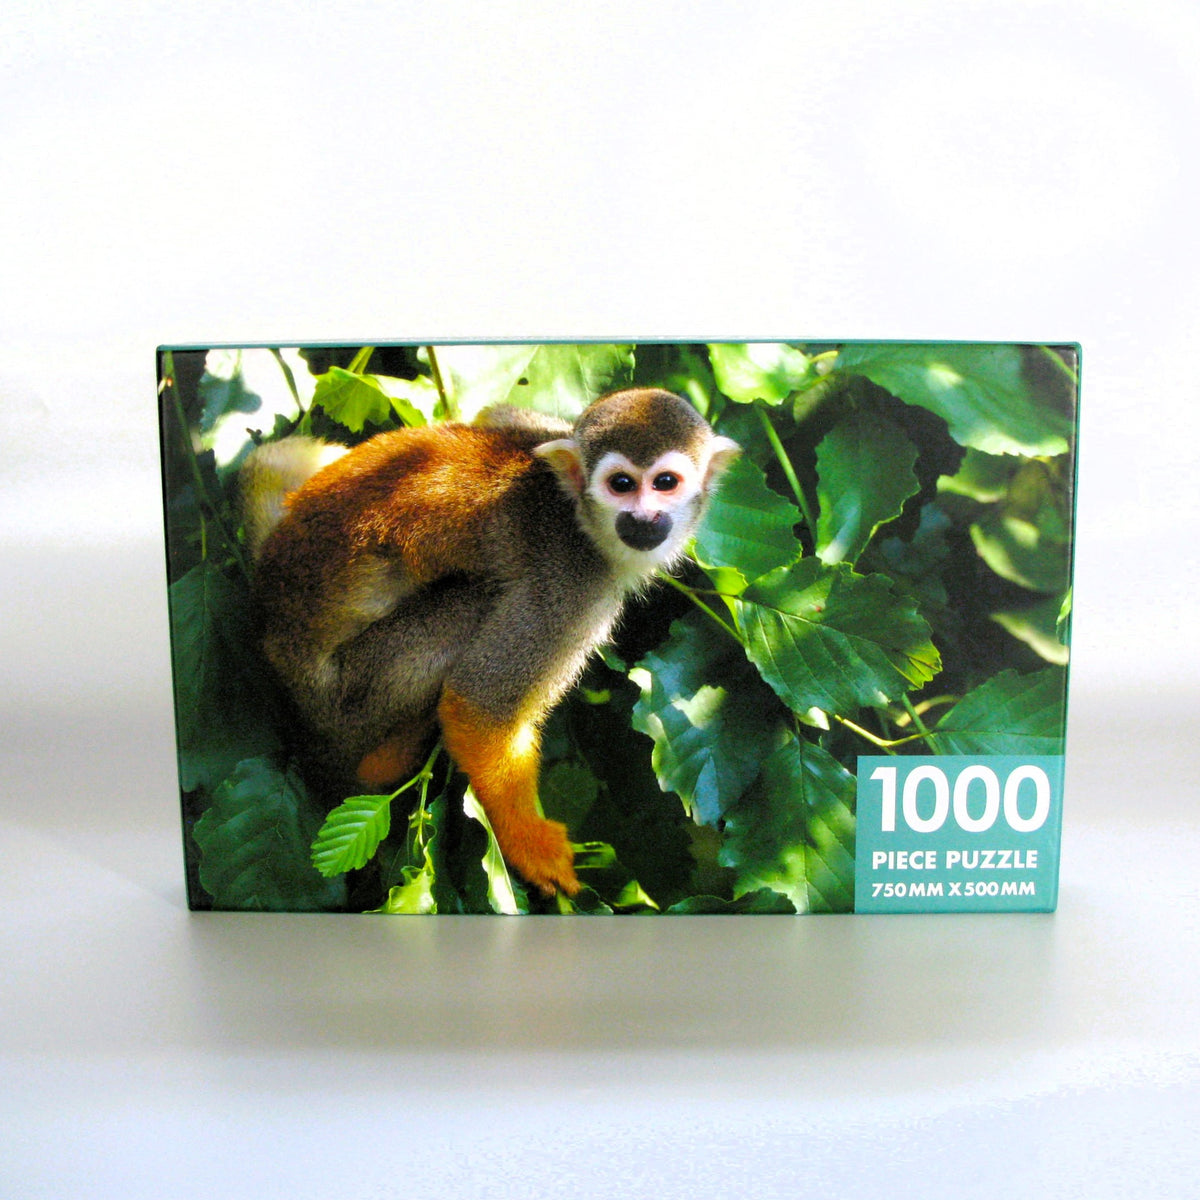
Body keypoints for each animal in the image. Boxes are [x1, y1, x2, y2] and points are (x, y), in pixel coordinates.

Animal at [240, 388, 740, 897]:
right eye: (621, 483)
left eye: (665, 483)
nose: (643, 518)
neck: (577, 516)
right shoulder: (570, 587)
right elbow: (481, 706)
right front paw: (530, 843)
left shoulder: (542, 430)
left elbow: (492, 415)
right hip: (346, 700)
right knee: (469, 606)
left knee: (273, 457)